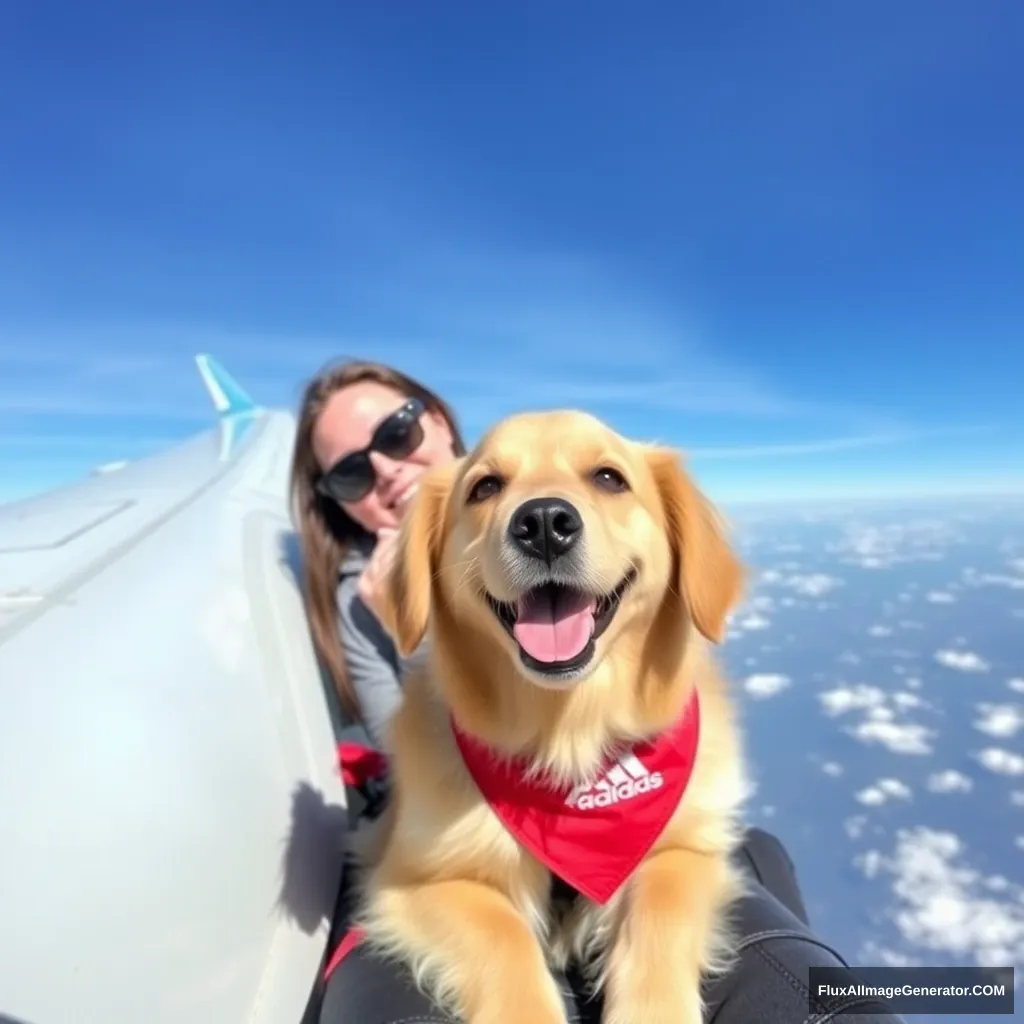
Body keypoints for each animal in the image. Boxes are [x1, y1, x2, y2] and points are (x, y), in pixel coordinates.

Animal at [362, 409, 753, 1024]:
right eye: (485, 487)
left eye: (610, 478)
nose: (544, 522)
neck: (569, 739)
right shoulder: (415, 879)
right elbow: (503, 936)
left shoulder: (688, 847)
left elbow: (659, 909)